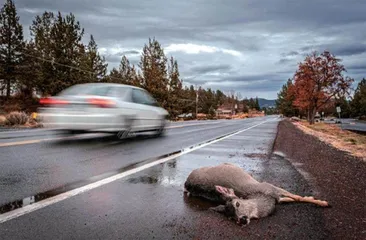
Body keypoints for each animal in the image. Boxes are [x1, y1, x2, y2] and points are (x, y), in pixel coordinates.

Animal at [184, 162, 330, 226]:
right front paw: (322, 202)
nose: (242, 219)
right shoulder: (270, 187)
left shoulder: (273, 192)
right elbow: (296, 197)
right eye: (231, 217)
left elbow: (292, 198)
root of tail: (187, 183)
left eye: (237, 204)